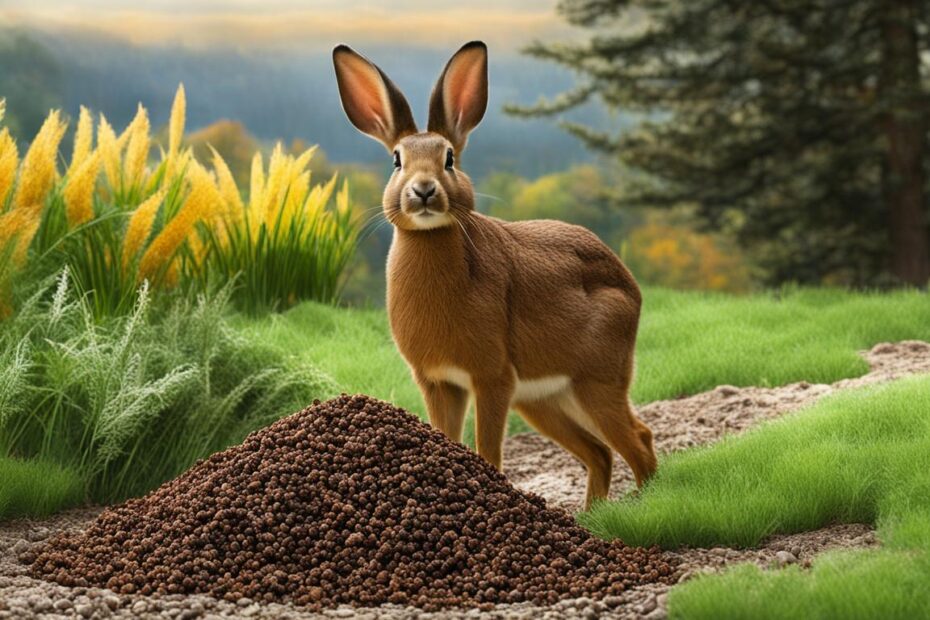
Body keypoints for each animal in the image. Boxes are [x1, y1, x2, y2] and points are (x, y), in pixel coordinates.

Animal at [333, 41, 657, 509]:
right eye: (397, 161)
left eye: (449, 158)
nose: (423, 190)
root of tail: (629, 286)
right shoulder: (439, 382)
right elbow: (448, 437)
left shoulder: (491, 378)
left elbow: (487, 449)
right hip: (543, 399)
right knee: (600, 452)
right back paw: (590, 516)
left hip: (596, 381)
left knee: (638, 441)